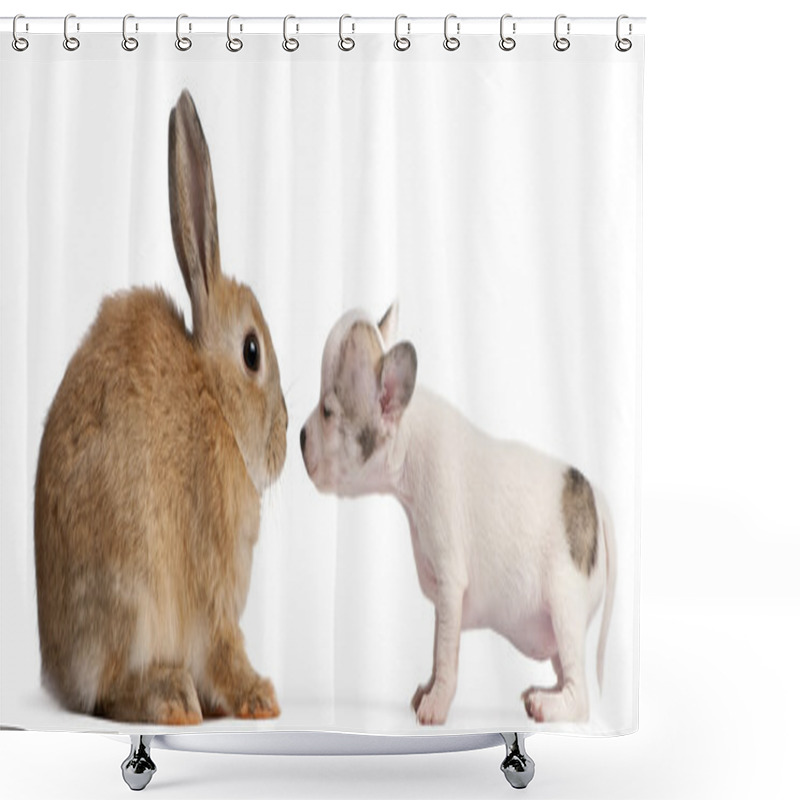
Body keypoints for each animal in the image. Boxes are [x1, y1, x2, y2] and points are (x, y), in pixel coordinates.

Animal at [36, 89, 290, 724]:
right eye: (252, 352)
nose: (284, 442)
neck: (214, 398)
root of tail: (59, 674)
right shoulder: (214, 580)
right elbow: (224, 646)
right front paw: (259, 698)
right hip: (134, 590)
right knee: (108, 691)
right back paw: (172, 697)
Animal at [302, 304, 620, 724]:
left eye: (327, 412)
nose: (299, 437)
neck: (408, 440)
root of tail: (595, 498)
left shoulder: (450, 583)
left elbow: (445, 651)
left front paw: (437, 703)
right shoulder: (443, 596)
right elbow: (439, 647)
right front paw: (428, 689)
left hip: (564, 602)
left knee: (581, 697)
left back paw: (548, 705)